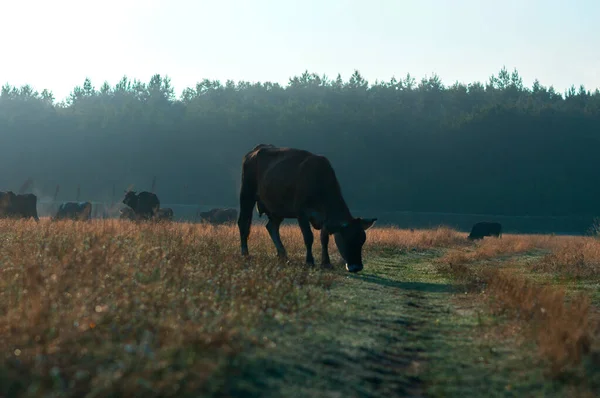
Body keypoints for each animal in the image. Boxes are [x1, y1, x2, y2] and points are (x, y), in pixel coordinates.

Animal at [238, 144, 376, 274]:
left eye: (362, 240)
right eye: (346, 240)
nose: (357, 267)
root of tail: (255, 150)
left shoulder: (324, 219)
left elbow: (324, 239)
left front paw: (326, 263)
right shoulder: (301, 213)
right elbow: (308, 237)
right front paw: (309, 261)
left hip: (277, 209)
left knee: (271, 227)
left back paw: (283, 254)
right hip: (247, 195)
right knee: (243, 222)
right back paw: (245, 252)